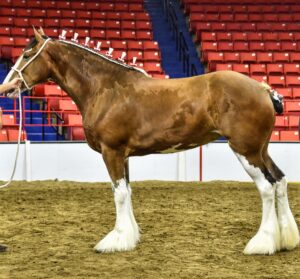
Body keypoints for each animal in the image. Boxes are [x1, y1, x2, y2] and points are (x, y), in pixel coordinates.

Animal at [3, 29, 298, 256]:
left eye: (27, 55)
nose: (6, 88)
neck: (106, 89)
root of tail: (263, 89)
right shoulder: (123, 155)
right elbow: (127, 191)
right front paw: (130, 237)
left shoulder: (112, 152)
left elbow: (119, 194)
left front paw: (115, 240)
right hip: (261, 150)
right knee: (280, 181)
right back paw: (286, 240)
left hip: (246, 151)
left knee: (267, 188)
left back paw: (261, 244)